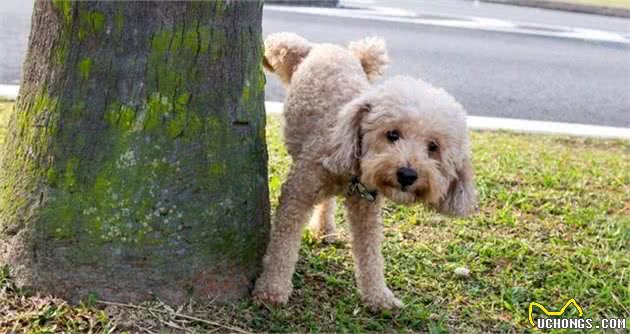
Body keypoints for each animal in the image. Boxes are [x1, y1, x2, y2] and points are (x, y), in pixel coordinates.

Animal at [254, 33, 476, 310]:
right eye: (392, 134)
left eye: (433, 147)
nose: (407, 175)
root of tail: (328, 48)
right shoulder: (298, 192)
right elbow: (283, 244)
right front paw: (272, 288)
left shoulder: (366, 208)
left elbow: (370, 253)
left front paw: (379, 296)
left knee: (327, 203)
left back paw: (325, 230)